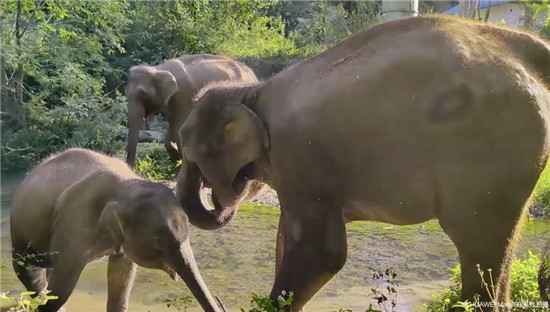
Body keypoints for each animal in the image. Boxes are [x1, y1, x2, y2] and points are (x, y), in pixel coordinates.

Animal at [10, 148, 226, 312]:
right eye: (158, 245)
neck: (126, 186)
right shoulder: (74, 221)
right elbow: (66, 277)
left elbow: (122, 272)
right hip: (22, 227)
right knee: (28, 268)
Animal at [126, 53, 260, 168]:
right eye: (126, 93)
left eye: (143, 94)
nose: (132, 168)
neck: (158, 69)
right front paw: (175, 162)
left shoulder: (183, 96)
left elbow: (178, 126)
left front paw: (179, 163)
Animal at [177, 17, 550, 312]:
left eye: (190, 154)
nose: (219, 198)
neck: (251, 91)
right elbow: (287, 237)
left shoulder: (301, 157)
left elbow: (323, 253)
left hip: (485, 153)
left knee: (475, 242)